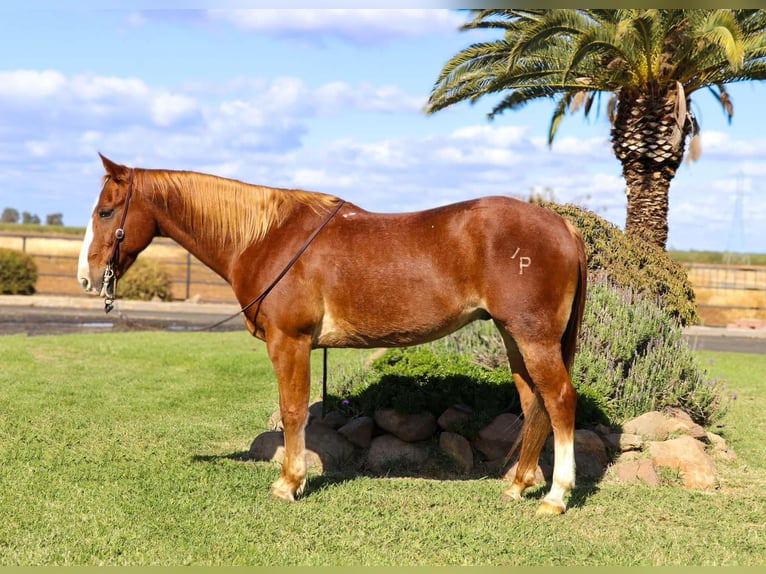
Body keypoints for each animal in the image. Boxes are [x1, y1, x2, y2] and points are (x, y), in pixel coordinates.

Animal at [78, 153, 587, 515]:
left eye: (105, 211)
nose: (87, 277)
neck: (267, 236)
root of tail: (563, 225)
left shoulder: (291, 341)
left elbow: (292, 411)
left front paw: (288, 483)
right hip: (514, 336)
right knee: (534, 402)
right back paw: (518, 485)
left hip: (533, 338)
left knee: (560, 399)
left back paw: (555, 496)